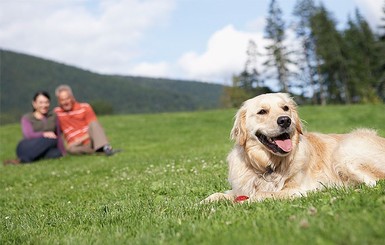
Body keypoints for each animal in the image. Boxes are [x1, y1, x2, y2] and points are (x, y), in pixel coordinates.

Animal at [202, 93, 382, 202]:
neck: (268, 166)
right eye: (262, 112)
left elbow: (261, 194)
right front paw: (202, 204)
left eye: (285, 108)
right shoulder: (241, 187)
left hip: (344, 152)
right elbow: (217, 195)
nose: (285, 120)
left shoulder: (297, 189)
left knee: (373, 182)